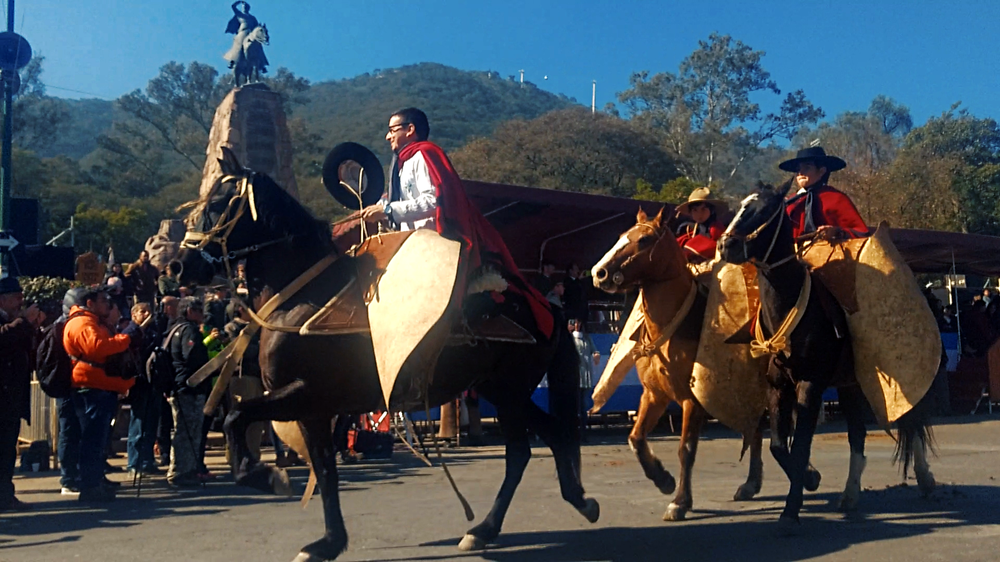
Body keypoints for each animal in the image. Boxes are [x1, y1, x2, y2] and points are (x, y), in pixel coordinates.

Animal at [175, 149, 596, 560]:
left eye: (219, 203)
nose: (180, 266)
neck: (302, 298)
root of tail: (545, 307)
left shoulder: (305, 392)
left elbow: (236, 418)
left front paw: (267, 478)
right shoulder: (312, 408)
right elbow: (324, 469)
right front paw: (329, 542)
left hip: (510, 391)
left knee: (526, 449)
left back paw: (501, 524)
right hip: (498, 388)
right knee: (542, 440)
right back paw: (534, 514)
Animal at [588, 207, 760, 520]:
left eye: (644, 240)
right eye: (621, 236)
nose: (599, 273)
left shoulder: (693, 399)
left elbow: (686, 449)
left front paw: (680, 501)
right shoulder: (654, 395)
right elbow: (636, 438)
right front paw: (663, 480)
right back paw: (751, 484)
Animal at [720, 180, 936, 528]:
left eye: (765, 210)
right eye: (741, 205)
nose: (727, 245)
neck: (788, 307)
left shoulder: (811, 384)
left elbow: (799, 447)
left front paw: (790, 511)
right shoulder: (778, 386)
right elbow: (780, 446)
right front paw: (809, 479)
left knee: (912, 422)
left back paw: (926, 479)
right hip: (851, 385)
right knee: (858, 434)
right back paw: (849, 495)